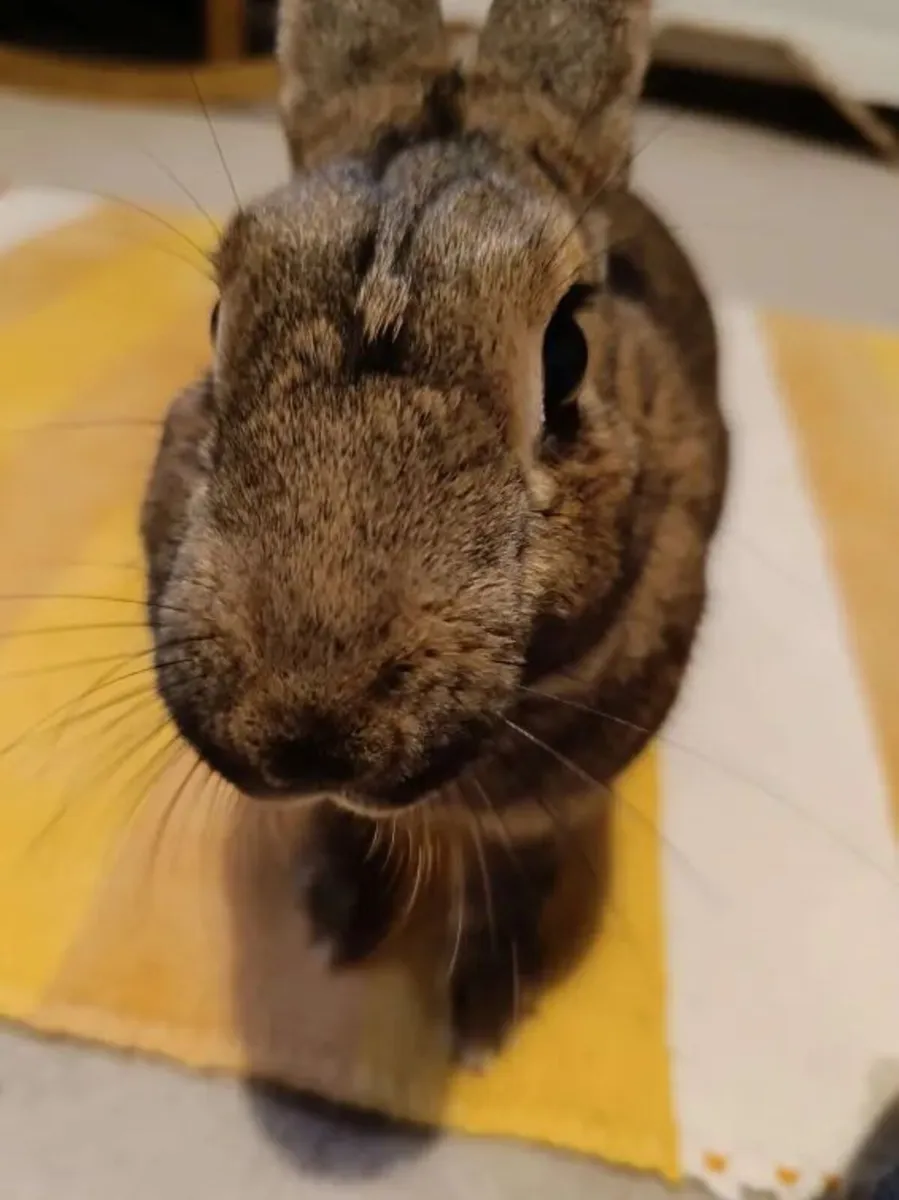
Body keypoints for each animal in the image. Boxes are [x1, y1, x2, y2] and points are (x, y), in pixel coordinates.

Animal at [141, 0, 728, 1059]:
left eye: (568, 352)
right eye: (214, 320)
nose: (306, 730)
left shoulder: (547, 807)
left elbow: (511, 877)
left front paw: (485, 1014)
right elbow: (352, 829)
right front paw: (336, 923)